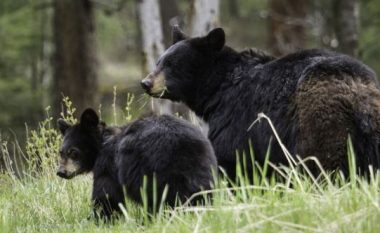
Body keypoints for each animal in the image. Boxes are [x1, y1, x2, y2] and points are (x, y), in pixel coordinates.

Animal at [56, 108, 217, 219]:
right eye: (61, 152)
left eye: (73, 152)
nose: (60, 172)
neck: (102, 143)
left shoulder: (107, 165)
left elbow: (107, 195)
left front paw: (99, 218)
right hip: (204, 167)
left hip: (152, 170)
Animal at [140, 26, 380, 178]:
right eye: (159, 61)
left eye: (172, 64)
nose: (146, 83)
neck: (218, 88)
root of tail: (359, 91)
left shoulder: (237, 116)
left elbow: (231, 157)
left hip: (321, 122)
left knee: (322, 163)